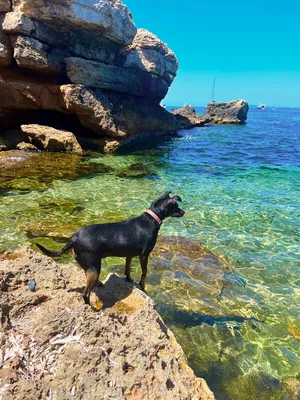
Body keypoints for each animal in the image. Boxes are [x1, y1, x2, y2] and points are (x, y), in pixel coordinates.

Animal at [36, 192, 184, 304]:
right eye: (176, 206)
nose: (184, 211)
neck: (151, 219)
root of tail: (74, 237)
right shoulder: (144, 255)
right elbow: (144, 273)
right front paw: (142, 286)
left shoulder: (129, 254)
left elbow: (128, 268)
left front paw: (129, 279)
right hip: (94, 267)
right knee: (86, 294)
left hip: (89, 265)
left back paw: (99, 284)